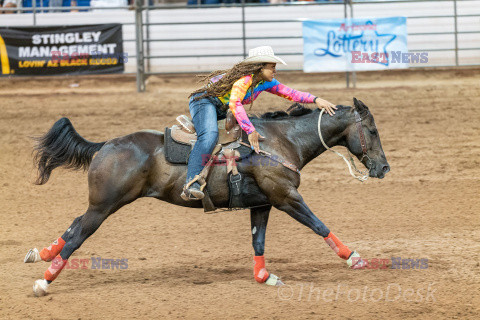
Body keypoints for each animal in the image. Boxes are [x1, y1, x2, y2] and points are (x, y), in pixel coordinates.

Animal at [24, 97, 390, 296]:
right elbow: (319, 225)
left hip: (101, 205)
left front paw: (264, 276)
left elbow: (258, 240)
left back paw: (41, 253)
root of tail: (106, 145)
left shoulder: (263, 202)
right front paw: (355, 258)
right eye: (372, 131)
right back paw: (44, 282)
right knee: (77, 236)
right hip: (104, 207)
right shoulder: (286, 196)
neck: (279, 142)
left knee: (74, 224)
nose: (384, 168)